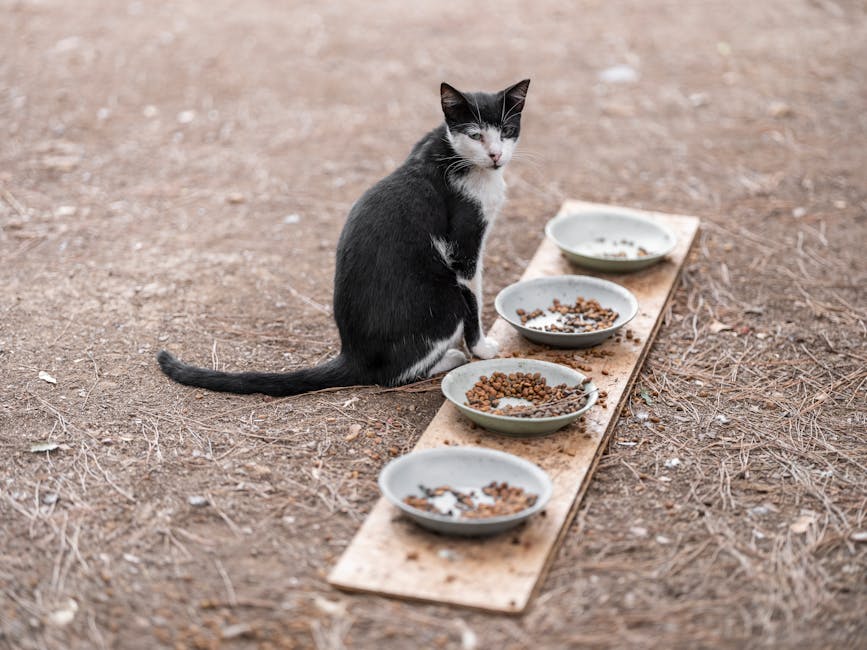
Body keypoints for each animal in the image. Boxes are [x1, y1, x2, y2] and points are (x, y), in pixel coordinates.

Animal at [159, 79, 532, 394]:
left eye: (506, 131)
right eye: (475, 135)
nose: (496, 155)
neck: (455, 156)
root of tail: (352, 353)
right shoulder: (463, 247)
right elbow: (474, 302)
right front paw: (482, 348)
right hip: (442, 299)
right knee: (392, 374)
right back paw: (450, 358)